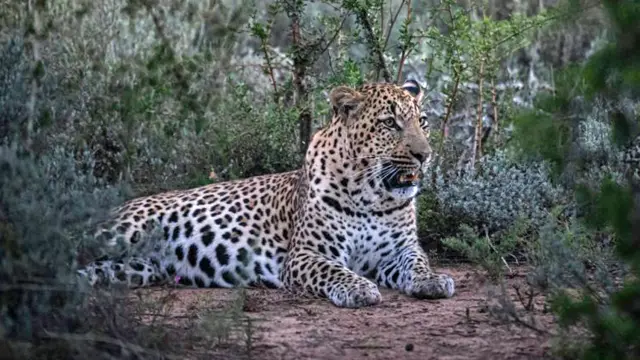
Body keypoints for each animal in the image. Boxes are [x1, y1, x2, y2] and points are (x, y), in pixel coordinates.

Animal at [79, 79, 456, 310]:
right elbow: (334, 270)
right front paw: (358, 288)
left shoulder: (400, 250)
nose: (425, 155)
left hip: (133, 269)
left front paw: (433, 280)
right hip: (120, 231)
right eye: (390, 123)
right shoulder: (305, 254)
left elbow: (418, 263)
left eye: (423, 121)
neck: (372, 195)